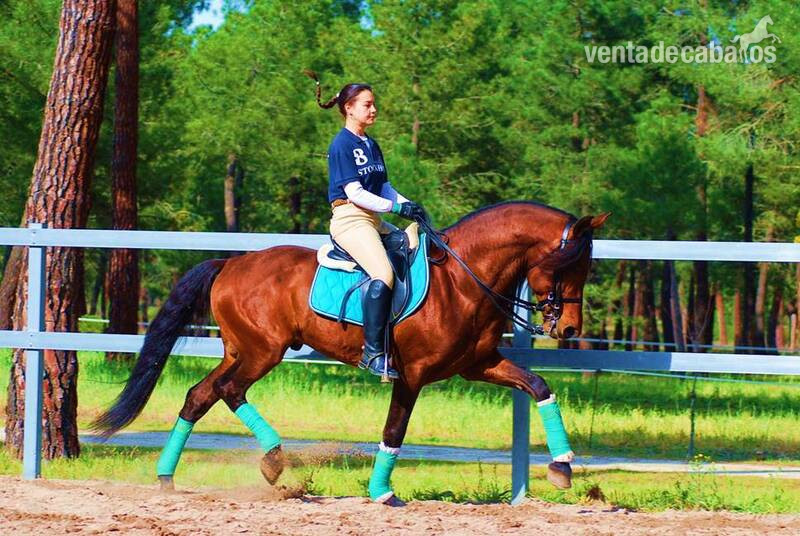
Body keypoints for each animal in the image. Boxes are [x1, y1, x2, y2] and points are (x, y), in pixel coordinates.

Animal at [93, 201, 609, 506]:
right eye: (569, 266)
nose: (568, 328)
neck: (463, 281)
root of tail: (232, 263)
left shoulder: (477, 365)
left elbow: (539, 386)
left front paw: (563, 467)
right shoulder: (412, 374)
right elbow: (394, 431)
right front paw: (382, 492)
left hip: (241, 350)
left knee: (200, 396)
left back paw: (166, 477)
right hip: (262, 352)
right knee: (227, 390)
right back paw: (273, 459)